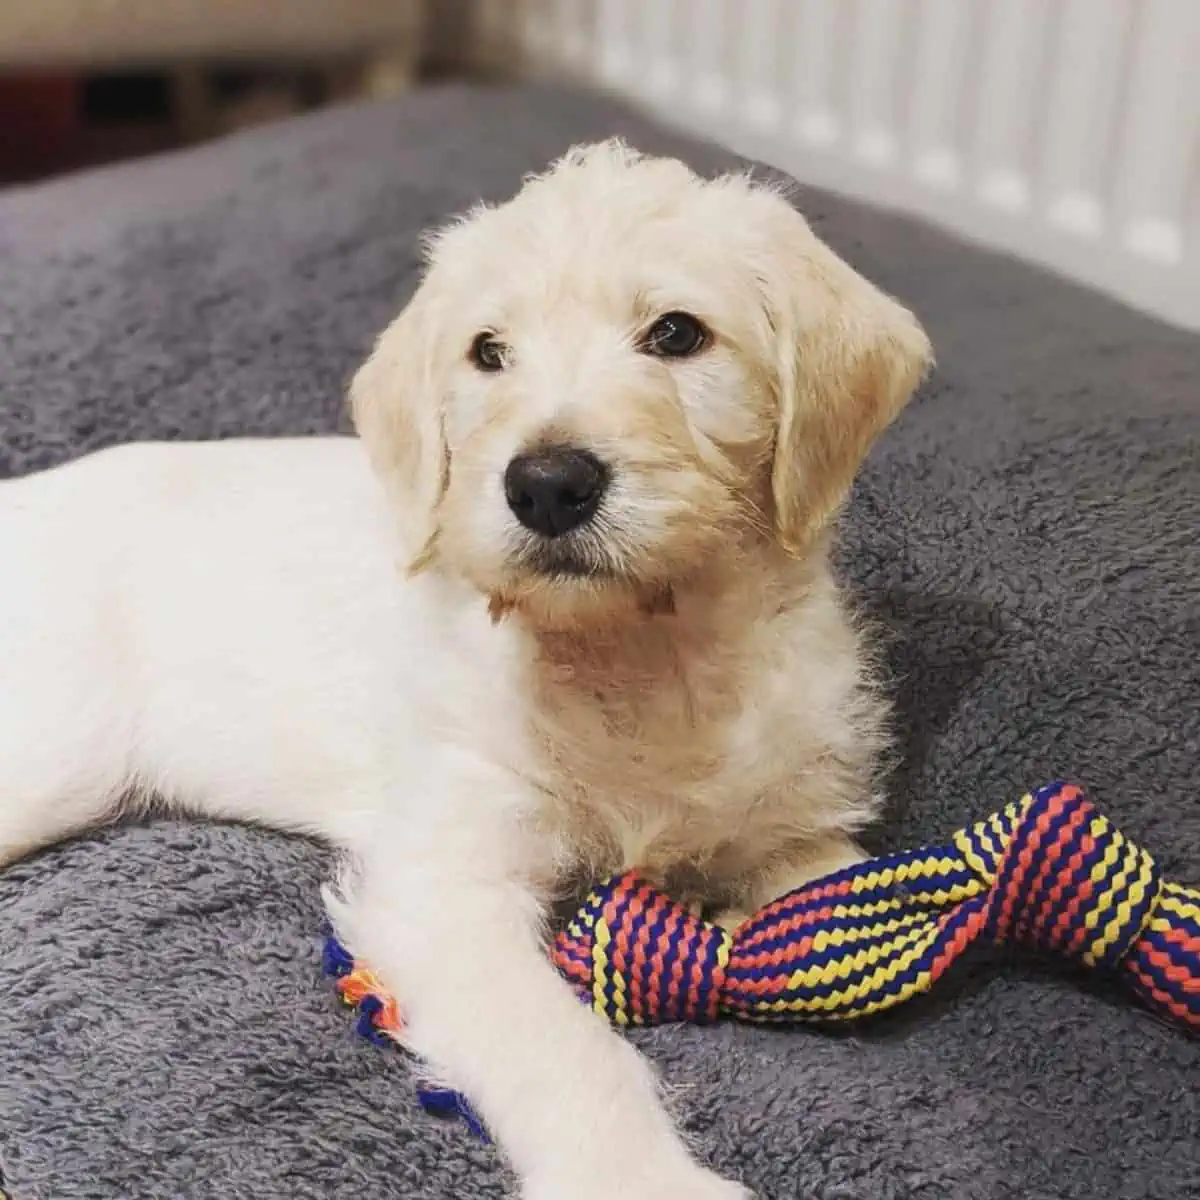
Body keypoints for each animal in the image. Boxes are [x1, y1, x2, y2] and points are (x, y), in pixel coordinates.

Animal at [0, 142, 926, 1200]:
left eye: (678, 334)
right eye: (488, 353)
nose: (547, 485)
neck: (641, 651)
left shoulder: (794, 828)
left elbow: (851, 884)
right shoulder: (447, 882)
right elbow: (569, 1050)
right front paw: (644, 1177)